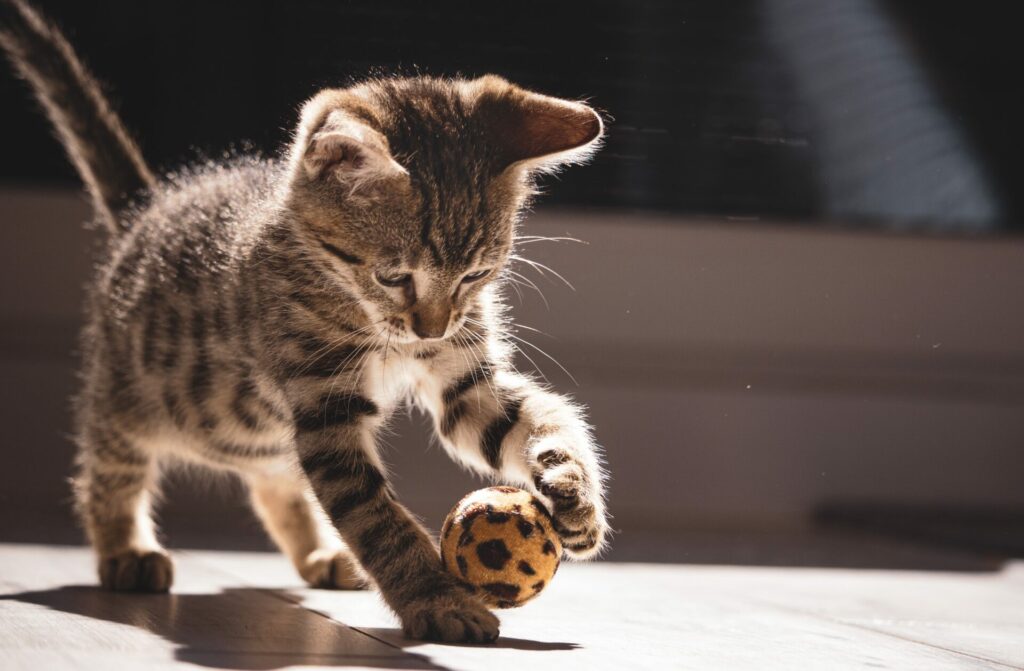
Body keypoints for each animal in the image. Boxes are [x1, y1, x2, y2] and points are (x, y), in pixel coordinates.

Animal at [0, 0, 606, 643]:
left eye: (476, 274)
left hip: (262, 434)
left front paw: (574, 492)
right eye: (395, 277)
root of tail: (149, 211)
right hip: (128, 398)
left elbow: (536, 418)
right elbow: (373, 514)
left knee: (275, 481)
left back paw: (319, 555)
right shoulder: (324, 406)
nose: (432, 329)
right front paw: (437, 599)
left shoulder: (465, 382)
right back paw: (124, 550)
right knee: (108, 467)